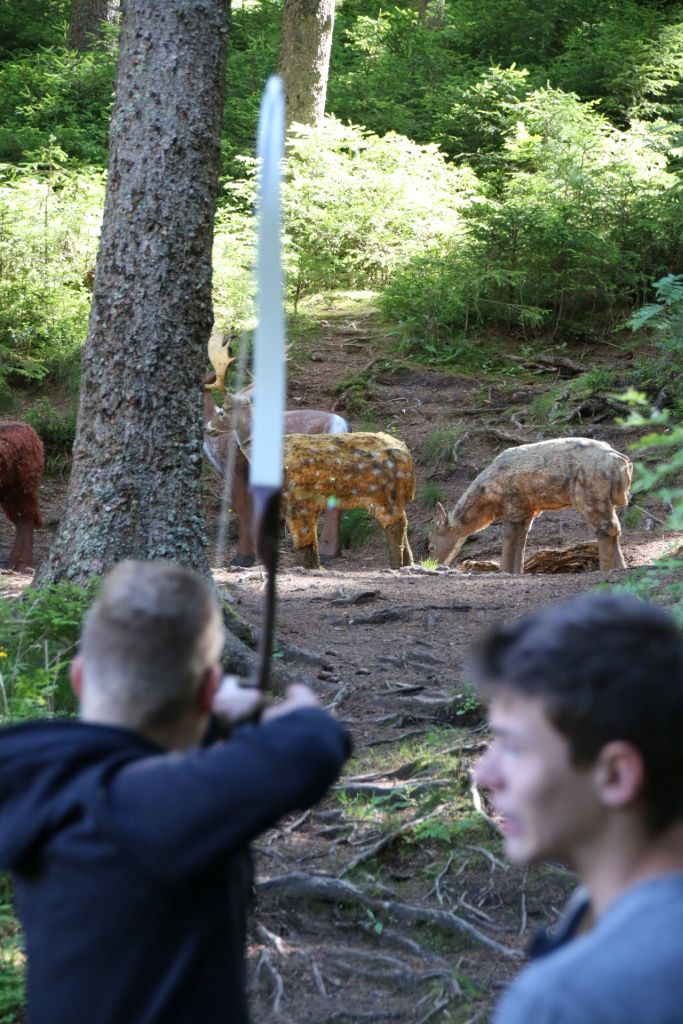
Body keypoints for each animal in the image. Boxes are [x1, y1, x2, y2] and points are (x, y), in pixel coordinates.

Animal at [427, 437, 633, 573]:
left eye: (431, 547)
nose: (432, 564)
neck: (488, 500)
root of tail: (622, 463)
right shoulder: (527, 509)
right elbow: (521, 541)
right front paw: (516, 572)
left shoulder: (512, 506)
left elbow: (509, 538)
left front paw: (504, 571)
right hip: (608, 499)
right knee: (615, 528)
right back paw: (620, 568)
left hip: (589, 493)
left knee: (606, 528)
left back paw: (607, 569)